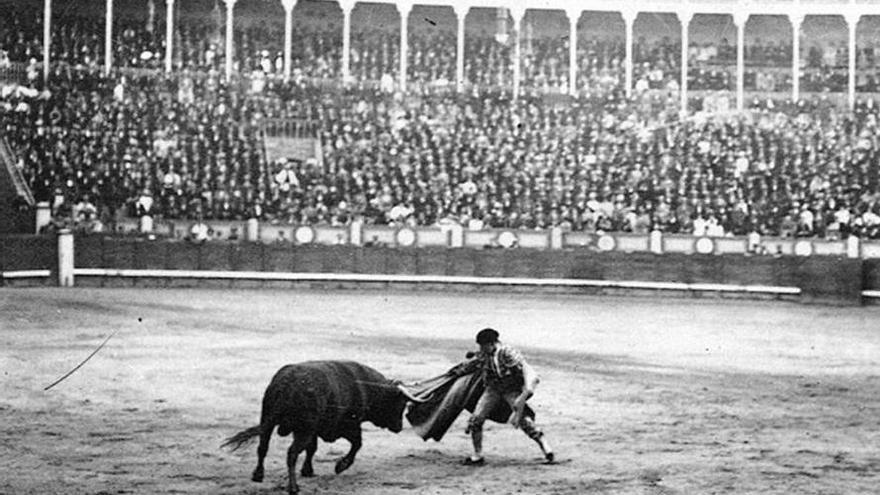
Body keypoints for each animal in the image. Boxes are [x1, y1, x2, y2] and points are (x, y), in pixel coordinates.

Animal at [222, 360, 424, 495]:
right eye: (400, 404)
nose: (399, 427)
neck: (368, 389)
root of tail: (287, 384)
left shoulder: (315, 431)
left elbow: (312, 449)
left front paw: (308, 471)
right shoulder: (347, 426)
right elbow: (357, 444)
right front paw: (340, 466)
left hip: (268, 421)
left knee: (262, 447)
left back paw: (258, 475)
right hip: (302, 429)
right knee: (291, 453)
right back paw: (293, 487)